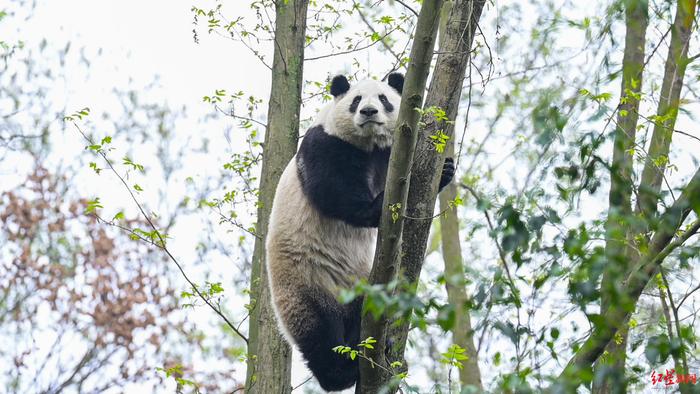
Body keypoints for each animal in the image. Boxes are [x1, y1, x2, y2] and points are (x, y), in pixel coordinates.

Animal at [266, 74, 456, 390]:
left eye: (383, 98)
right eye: (356, 100)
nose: (368, 112)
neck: (369, 145)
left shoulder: (393, 154)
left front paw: (445, 171)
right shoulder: (325, 144)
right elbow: (333, 191)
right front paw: (377, 206)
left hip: (359, 282)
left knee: (359, 314)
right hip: (304, 282)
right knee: (320, 334)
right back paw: (343, 371)